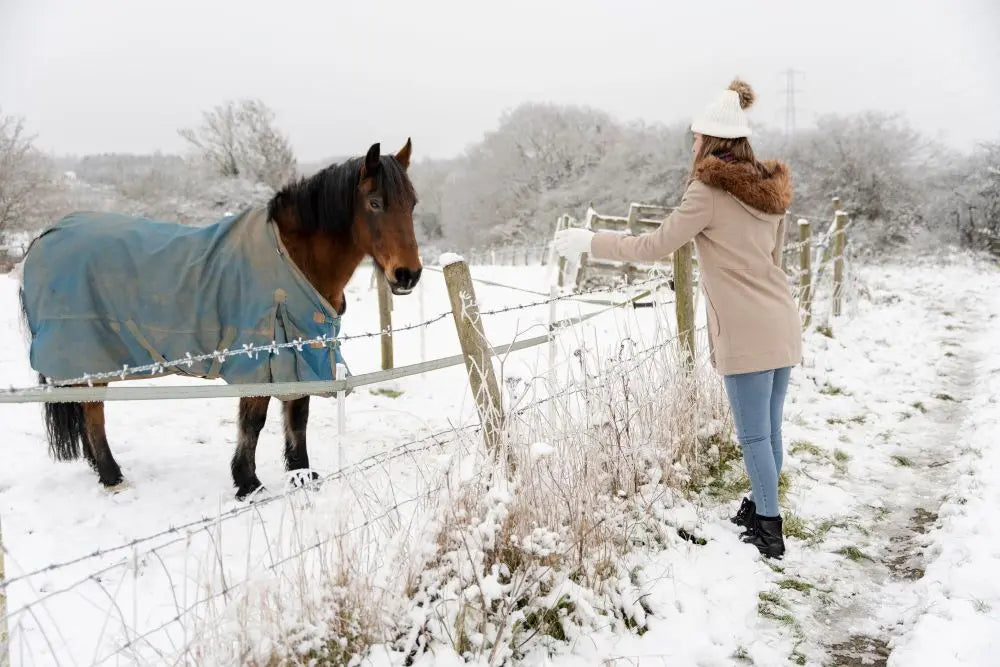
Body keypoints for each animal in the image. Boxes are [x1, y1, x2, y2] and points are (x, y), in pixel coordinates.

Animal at [22, 141, 422, 500]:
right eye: (375, 203)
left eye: (413, 204)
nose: (408, 275)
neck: (292, 257)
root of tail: (43, 237)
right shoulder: (260, 357)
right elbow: (254, 422)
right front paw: (249, 484)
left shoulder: (301, 351)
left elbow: (298, 416)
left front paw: (302, 476)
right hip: (87, 354)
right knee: (93, 411)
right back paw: (111, 476)